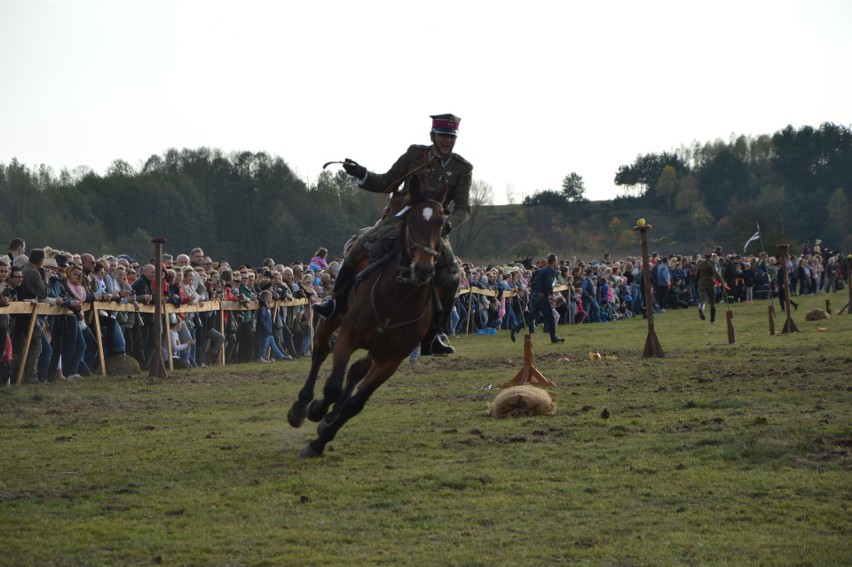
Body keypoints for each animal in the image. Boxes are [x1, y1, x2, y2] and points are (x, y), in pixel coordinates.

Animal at [286, 175, 450, 460]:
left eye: (441, 223)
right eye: (412, 220)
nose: (423, 268)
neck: (398, 299)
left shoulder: (390, 360)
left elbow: (355, 403)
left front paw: (320, 439)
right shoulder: (348, 336)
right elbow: (332, 387)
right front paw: (316, 411)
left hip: (375, 350)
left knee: (355, 371)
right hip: (333, 317)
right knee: (321, 350)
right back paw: (303, 406)